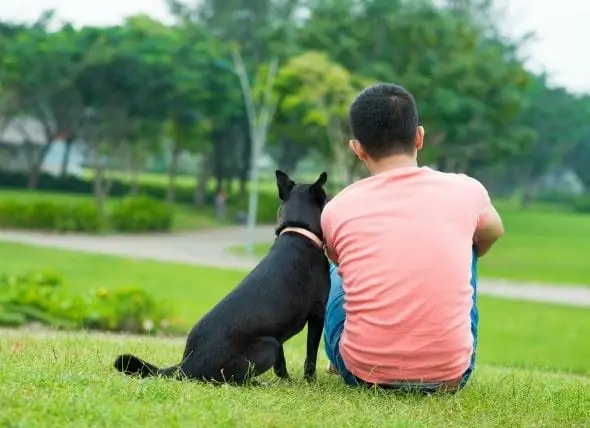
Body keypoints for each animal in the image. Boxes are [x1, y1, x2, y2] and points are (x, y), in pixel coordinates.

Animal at [114, 170, 332, 384]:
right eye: (325, 196)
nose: (333, 198)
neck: (298, 229)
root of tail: (185, 365)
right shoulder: (318, 312)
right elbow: (310, 356)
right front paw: (310, 382)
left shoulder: (281, 332)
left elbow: (281, 365)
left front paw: (287, 381)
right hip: (268, 345)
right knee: (232, 379)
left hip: (273, 342)